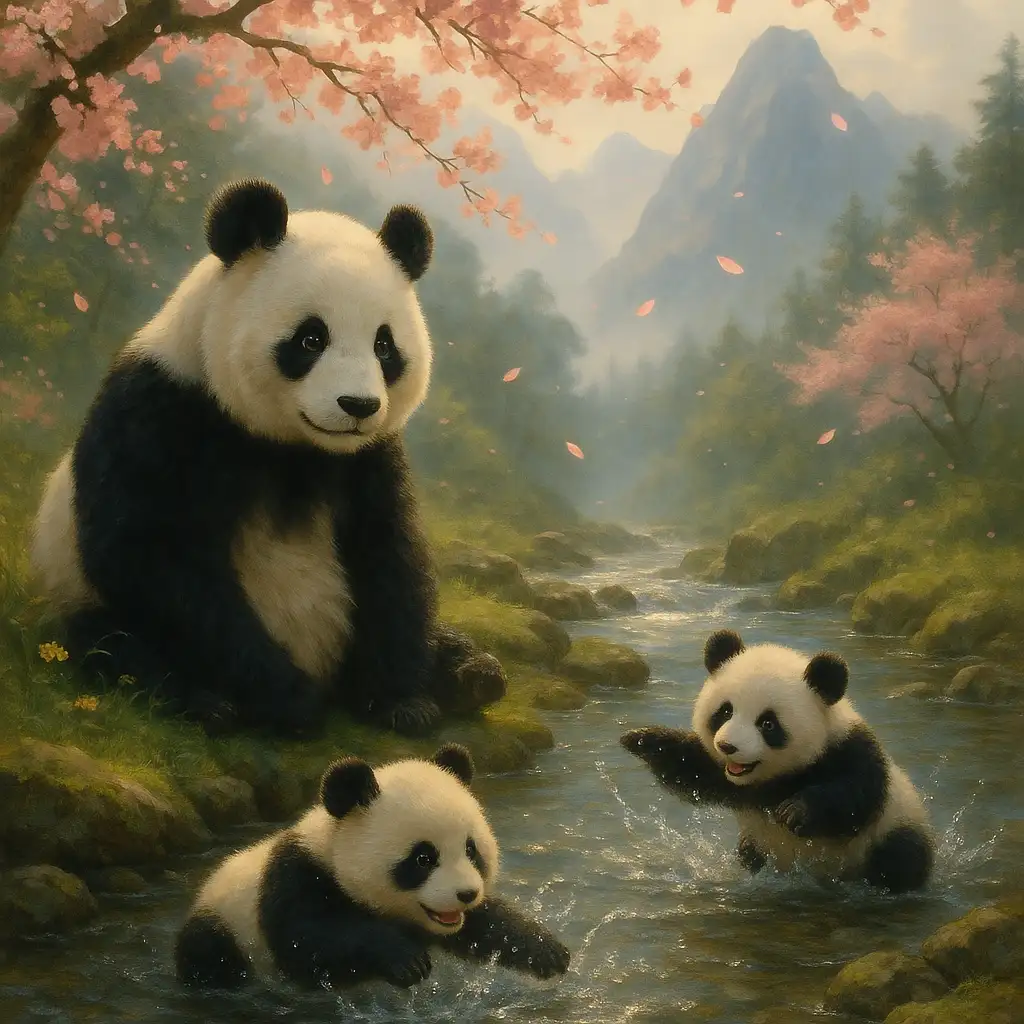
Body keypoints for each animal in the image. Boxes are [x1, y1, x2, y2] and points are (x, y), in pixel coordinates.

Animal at [29, 177, 506, 737]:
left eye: (384, 346)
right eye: (311, 338)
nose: (358, 406)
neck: (292, 446)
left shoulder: (370, 458)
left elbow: (390, 553)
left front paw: (401, 700)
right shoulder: (161, 412)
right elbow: (147, 551)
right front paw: (288, 697)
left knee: (449, 641)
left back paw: (474, 675)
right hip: (77, 593)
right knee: (113, 644)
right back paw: (205, 700)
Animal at [174, 743, 571, 991]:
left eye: (471, 850)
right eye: (423, 858)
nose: (467, 893)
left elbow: (485, 924)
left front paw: (548, 951)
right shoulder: (296, 878)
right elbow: (306, 942)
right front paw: (406, 960)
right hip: (222, 930)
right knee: (211, 957)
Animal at [620, 629, 934, 894]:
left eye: (768, 724)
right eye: (725, 711)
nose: (727, 746)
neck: (778, 776)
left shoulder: (848, 751)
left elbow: (855, 797)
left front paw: (795, 811)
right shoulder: (728, 778)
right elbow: (692, 769)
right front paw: (642, 739)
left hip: (892, 830)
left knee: (900, 859)